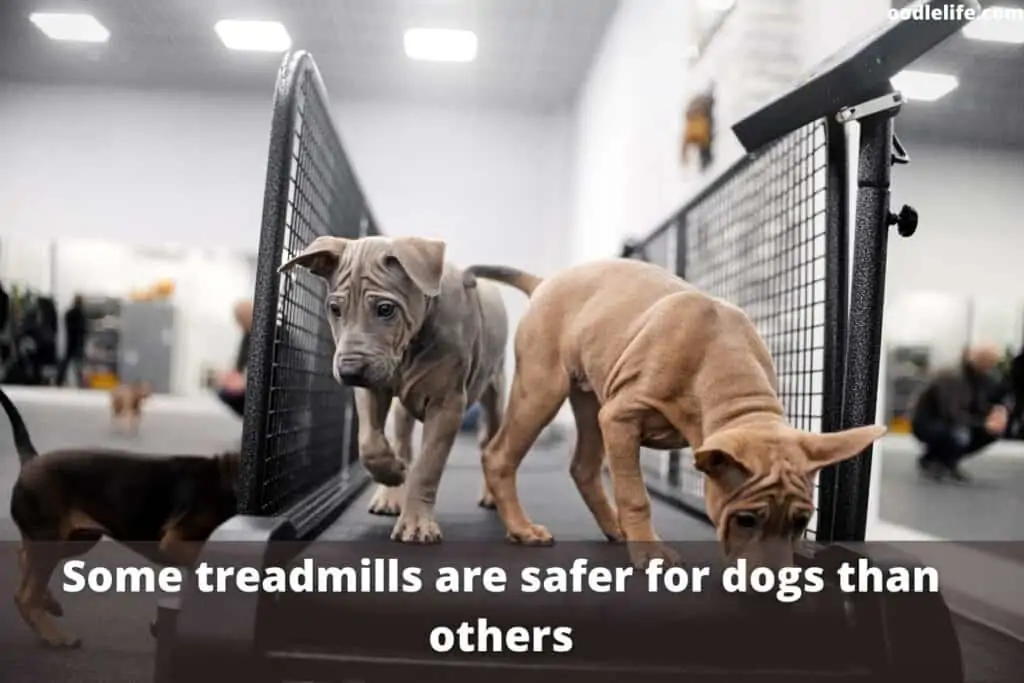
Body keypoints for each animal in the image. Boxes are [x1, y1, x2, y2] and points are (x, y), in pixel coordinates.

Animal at [3, 387, 237, 651]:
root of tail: (30, 459)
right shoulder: (178, 544)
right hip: (51, 543)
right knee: (26, 595)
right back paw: (55, 635)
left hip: (75, 539)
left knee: (24, 558)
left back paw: (49, 603)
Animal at [278, 236, 505, 544]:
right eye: (335, 309)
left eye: (386, 309)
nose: (349, 372)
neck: (410, 345)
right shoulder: (371, 388)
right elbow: (369, 442)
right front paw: (392, 472)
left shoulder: (447, 405)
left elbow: (427, 467)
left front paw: (417, 523)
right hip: (403, 408)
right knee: (402, 441)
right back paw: (391, 492)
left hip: (494, 391)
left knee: (490, 439)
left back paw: (492, 495)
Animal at [468, 259, 884, 569]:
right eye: (746, 519)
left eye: (801, 522)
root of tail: (545, 283)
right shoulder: (620, 419)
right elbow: (636, 495)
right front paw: (649, 551)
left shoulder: (614, 418)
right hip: (542, 390)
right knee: (499, 454)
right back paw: (522, 528)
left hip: (590, 400)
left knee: (583, 467)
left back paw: (615, 528)